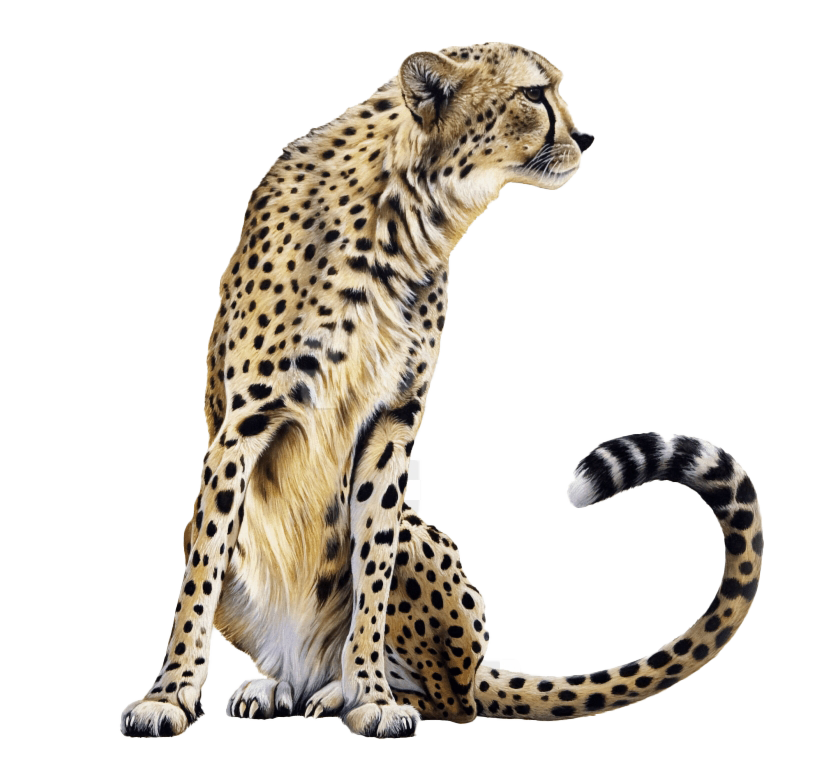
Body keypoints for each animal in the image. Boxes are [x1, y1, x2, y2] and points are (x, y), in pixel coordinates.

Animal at [120, 42, 763, 739]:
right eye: (534, 94)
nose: (589, 136)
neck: (403, 216)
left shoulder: (393, 420)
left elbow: (372, 565)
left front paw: (370, 694)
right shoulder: (244, 425)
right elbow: (201, 573)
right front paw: (169, 694)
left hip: (427, 560)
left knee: (459, 699)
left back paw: (340, 691)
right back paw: (281, 687)